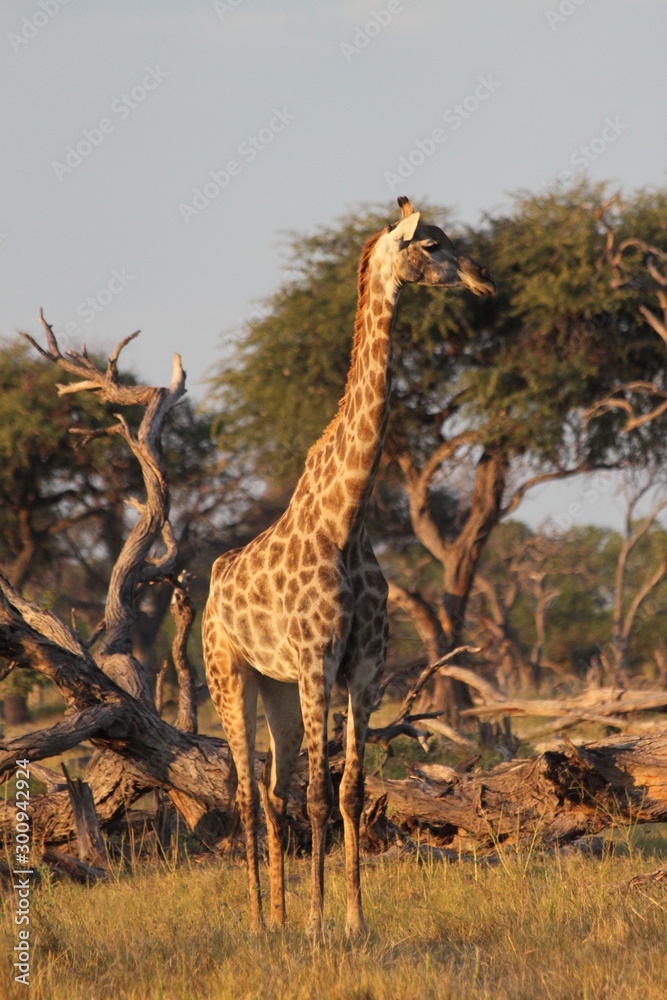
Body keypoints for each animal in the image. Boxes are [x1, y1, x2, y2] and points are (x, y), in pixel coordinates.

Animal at [202, 197, 496, 936]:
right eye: (433, 244)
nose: (482, 280)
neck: (348, 519)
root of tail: (211, 584)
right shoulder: (316, 662)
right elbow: (317, 795)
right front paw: (316, 925)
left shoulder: (364, 666)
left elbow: (351, 790)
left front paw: (353, 921)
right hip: (230, 676)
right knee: (246, 792)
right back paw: (260, 919)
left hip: (275, 688)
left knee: (272, 790)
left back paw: (276, 918)